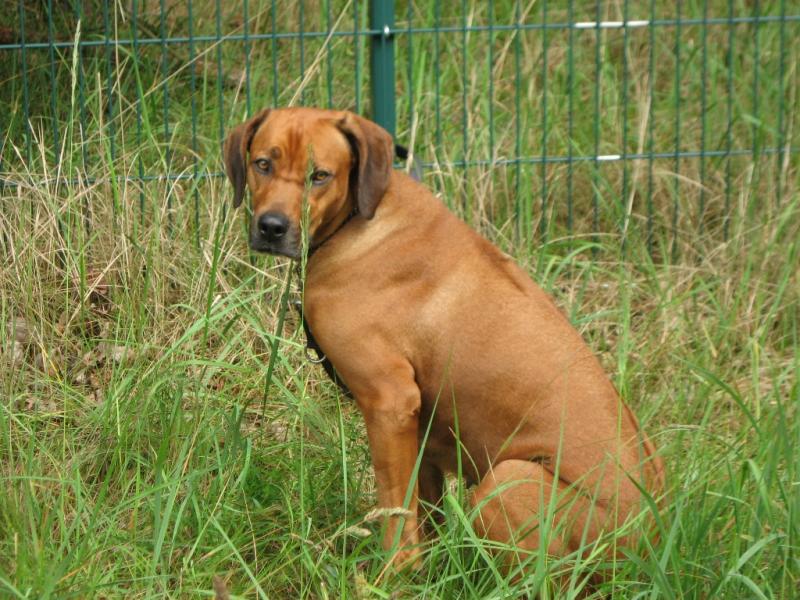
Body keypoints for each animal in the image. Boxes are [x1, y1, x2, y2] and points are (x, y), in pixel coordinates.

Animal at [223, 107, 664, 569]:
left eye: (320, 175)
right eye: (262, 164)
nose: (272, 227)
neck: (362, 218)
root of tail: (648, 544)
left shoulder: (389, 402)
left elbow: (396, 507)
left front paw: (393, 573)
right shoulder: (419, 427)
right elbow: (424, 508)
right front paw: (426, 571)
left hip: (511, 480)